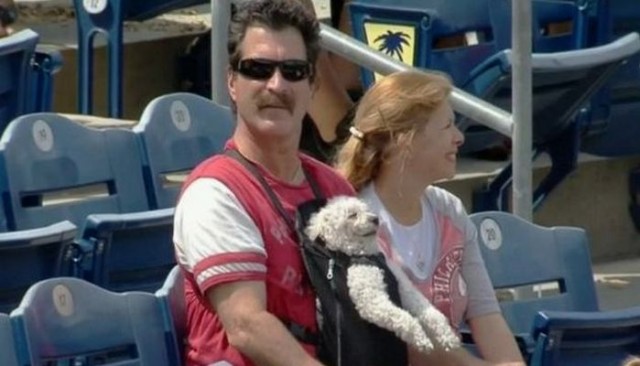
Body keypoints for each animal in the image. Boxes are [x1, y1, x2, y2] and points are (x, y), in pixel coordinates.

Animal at [304, 197, 460, 354]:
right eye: (352, 215)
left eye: (366, 210)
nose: (376, 218)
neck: (367, 255)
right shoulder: (371, 300)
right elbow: (403, 317)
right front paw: (420, 338)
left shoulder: (405, 287)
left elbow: (430, 312)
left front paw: (447, 336)